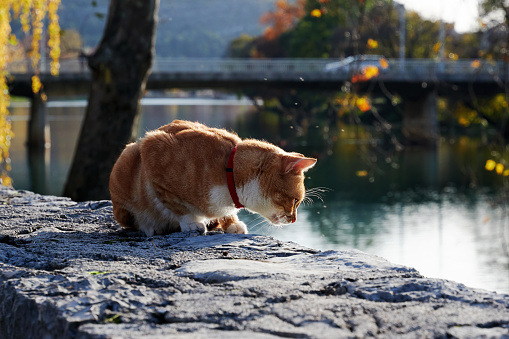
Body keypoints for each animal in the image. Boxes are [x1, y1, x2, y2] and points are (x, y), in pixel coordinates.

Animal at [109, 120, 316, 236]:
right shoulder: (153, 149)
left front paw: (232, 223)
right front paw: (191, 222)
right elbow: (177, 206)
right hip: (129, 156)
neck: (227, 172)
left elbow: (226, 214)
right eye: (295, 200)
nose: (294, 220)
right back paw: (151, 226)